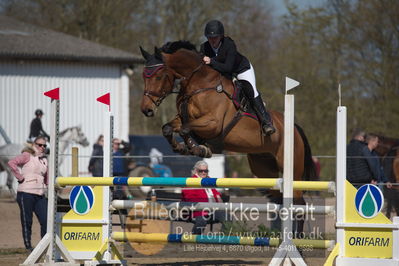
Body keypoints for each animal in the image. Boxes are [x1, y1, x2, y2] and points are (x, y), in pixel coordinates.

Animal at [139, 40, 318, 234]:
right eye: (144, 76)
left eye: (158, 77)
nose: (146, 109)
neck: (198, 84)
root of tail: (294, 127)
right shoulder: (183, 118)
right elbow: (168, 128)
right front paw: (181, 147)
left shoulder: (213, 123)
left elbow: (186, 130)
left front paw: (199, 148)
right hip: (263, 169)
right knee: (280, 199)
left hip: (292, 167)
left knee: (300, 204)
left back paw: (297, 236)